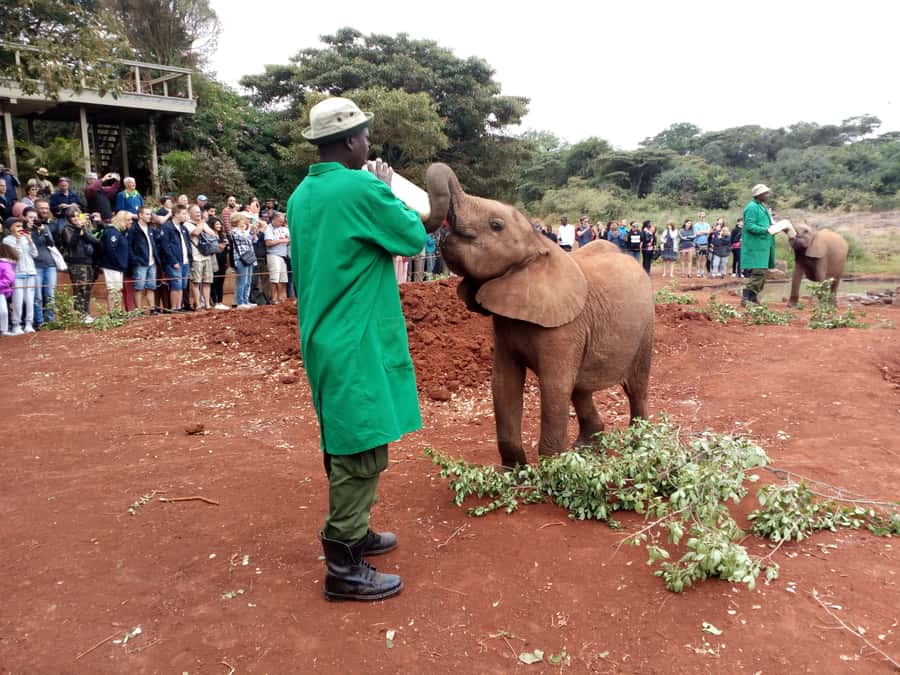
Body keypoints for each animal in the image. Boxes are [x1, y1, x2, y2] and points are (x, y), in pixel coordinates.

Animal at [424, 163, 654, 467]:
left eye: (496, 225)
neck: (539, 244)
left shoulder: (566, 329)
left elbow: (554, 388)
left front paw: (551, 470)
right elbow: (504, 384)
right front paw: (513, 470)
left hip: (646, 328)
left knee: (636, 388)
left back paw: (639, 446)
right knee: (581, 388)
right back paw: (586, 448)